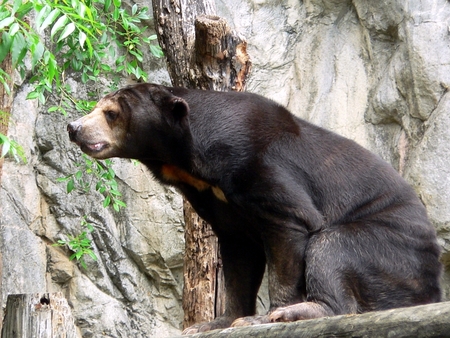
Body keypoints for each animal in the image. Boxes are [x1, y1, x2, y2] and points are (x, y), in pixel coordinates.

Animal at [66, 84, 440, 332]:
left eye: (111, 113)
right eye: (98, 107)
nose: (74, 128)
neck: (191, 164)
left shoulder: (260, 164)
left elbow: (291, 224)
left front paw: (265, 315)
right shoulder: (216, 199)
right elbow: (238, 256)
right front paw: (214, 322)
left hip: (390, 249)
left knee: (333, 246)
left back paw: (305, 310)